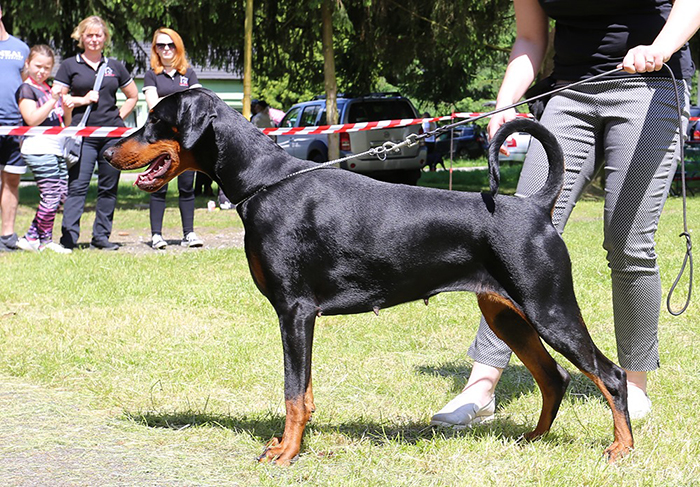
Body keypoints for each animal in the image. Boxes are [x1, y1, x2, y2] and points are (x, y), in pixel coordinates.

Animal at [104, 88, 633, 465]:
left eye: (155, 122)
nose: (109, 152)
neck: (264, 183)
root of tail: (535, 207)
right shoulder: (300, 318)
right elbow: (305, 391)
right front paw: (290, 445)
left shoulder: (294, 311)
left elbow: (292, 392)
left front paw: (286, 454)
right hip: (508, 315)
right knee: (554, 377)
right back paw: (532, 439)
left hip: (549, 308)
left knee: (609, 374)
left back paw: (621, 449)